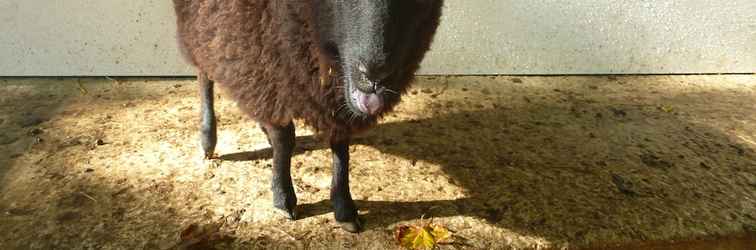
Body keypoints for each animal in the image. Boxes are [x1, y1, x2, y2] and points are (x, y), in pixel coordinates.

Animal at [173, 0, 442, 232]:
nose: (374, 75)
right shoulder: (267, 63)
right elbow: (285, 139)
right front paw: (283, 197)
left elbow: (341, 147)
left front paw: (344, 207)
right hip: (203, 28)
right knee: (204, 76)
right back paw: (208, 139)